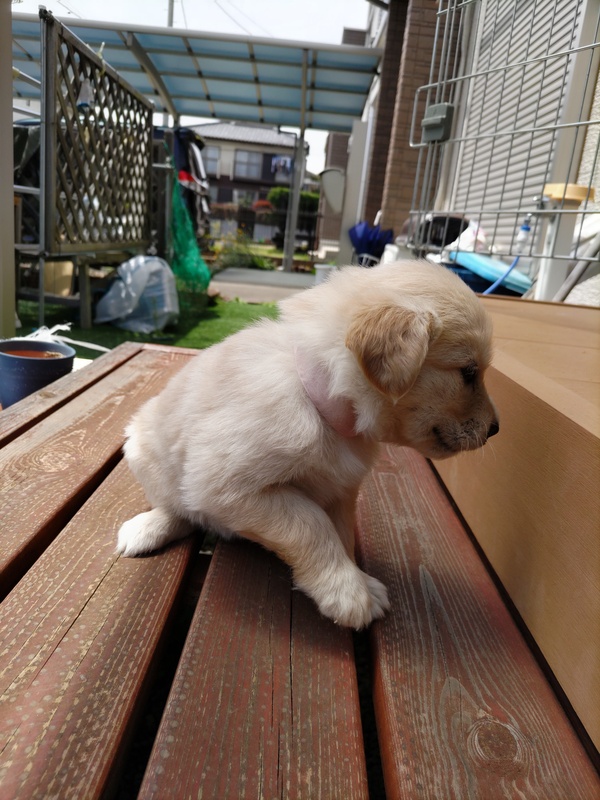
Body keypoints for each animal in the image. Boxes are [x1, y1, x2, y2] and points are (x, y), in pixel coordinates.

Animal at [117, 261, 498, 629]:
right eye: (468, 372)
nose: (495, 429)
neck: (321, 401)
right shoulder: (225, 487)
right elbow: (311, 524)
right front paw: (347, 591)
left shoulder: (341, 489)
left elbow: (341, 532)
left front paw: (356, 579)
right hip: (143, 452)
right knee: (177, 508)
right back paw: (147, 528)